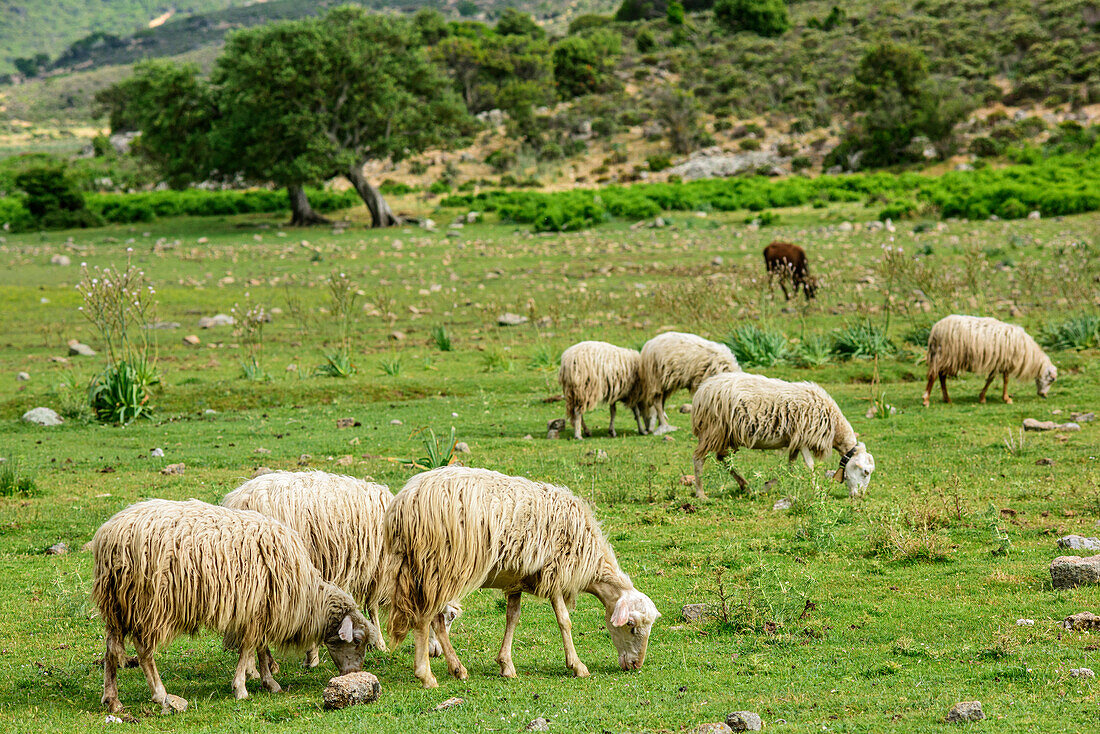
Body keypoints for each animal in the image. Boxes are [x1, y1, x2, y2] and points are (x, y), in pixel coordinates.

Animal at [94, 499, 369, 713]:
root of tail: (110, 537)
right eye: (356, 640)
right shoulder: (256, 609)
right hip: (149, 605)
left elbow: (260, 649)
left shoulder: (261, 610)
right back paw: (160, 695)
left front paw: (269, 682)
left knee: (111, 650)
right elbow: (248, 649)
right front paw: (241, 688)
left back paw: (113, 701)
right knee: (144, 652)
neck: (307, 595)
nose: (355, 674)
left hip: (117, 606)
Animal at [221, 473, 457, 669]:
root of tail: (239, 499)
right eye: (450, 616)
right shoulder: (377, 567)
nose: (435, 652)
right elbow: (372, 606)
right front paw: (380, 643)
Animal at [387, 464, 660, 691]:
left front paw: (506, 665)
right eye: (631, 625)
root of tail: (405, 501)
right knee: (424, 619)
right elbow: (564, 621)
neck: (589, 558)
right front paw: (577, 666)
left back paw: (458, 669)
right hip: (439, 567)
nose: (636, 666)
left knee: (436, 620)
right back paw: (427, 676)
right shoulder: (554, 573)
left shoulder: (516, 579)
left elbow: (512, 618)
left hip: (427, 571)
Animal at [686, 374, 875, 499]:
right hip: (713, 430)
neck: (835, 426)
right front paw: (817, 491)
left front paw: (767, 486)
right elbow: (810, 466)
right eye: (865, 472)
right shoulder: (803, 437)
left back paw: (745, 486)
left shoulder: (795, 441)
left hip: (726, 435)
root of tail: (702, 390)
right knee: (699, 459)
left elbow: (790, 465)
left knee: (723, 458)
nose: (859, 496)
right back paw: (701, 493)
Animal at [919, 314, 1056, 407]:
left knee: (942, 376)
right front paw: (1007, 399)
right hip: (944, 355)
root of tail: (936, 328)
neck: (1027, 352)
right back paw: (926, 400)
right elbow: (1005, 380)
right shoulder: (1006, 362)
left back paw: (947, 399)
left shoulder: (998, 363)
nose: (1044, 395)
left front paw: (982, 397)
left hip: (946, 357)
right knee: (933, 375)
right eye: (1051, 380)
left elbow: (990, 379)